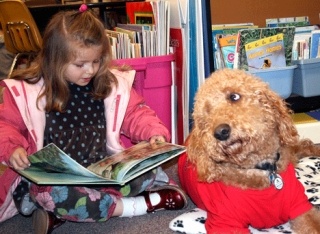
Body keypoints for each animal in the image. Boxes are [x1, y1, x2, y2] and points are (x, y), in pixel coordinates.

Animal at [178, 68, 320, 233]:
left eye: (234, 96)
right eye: (207, 112)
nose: (220, 132)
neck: (261, 168)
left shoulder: (301, 207)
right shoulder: (227, 223)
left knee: (304, 145)